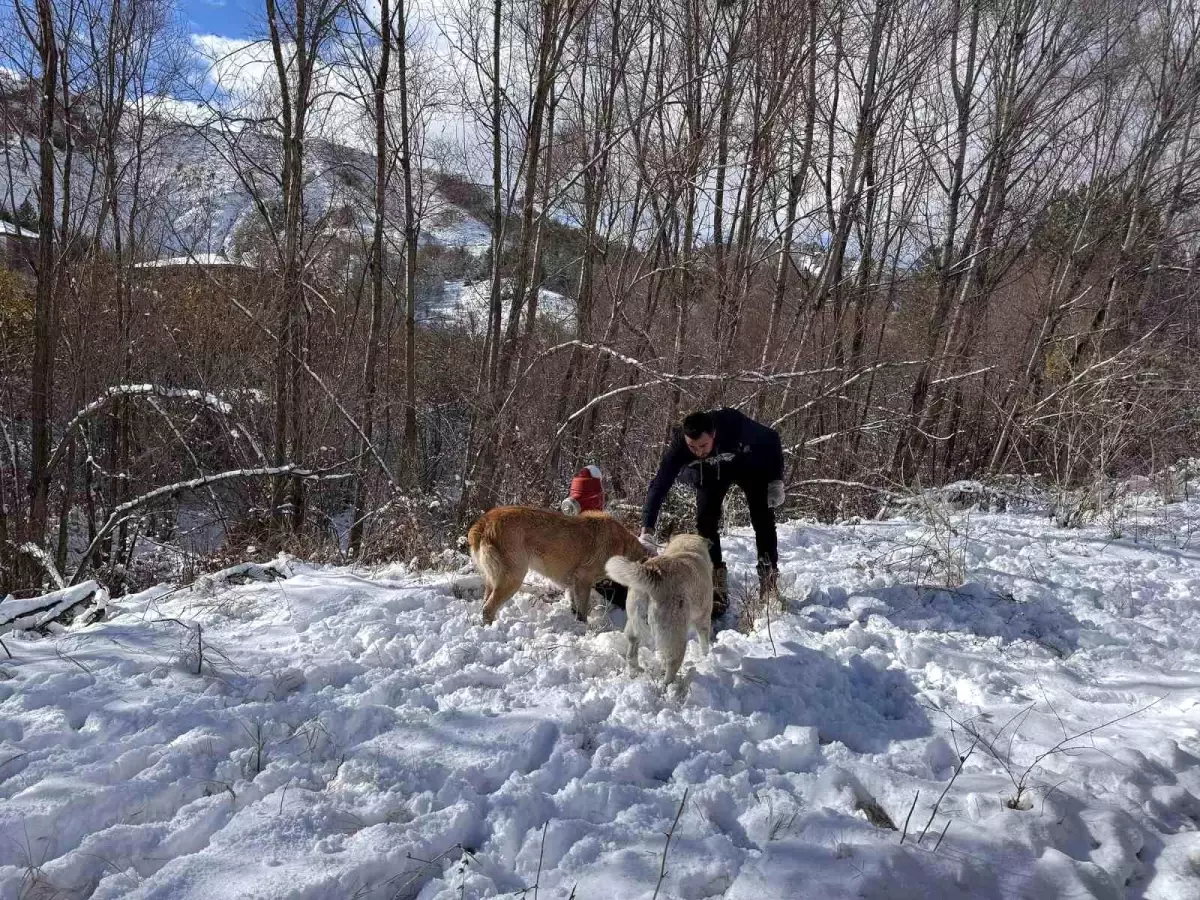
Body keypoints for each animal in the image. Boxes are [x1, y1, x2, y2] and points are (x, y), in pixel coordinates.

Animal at [465, 508, 648, 628]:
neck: (623, 548)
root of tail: (485, 522)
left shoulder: (576, 583)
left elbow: (576, 607)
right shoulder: (583, 579)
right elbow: (583, 610)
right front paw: (584, 629)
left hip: (493, 580)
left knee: (485, 605)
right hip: (512, 579)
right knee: (488, 609)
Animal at [600, 535, 710, 691]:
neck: (687, 546)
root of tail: (654, 575)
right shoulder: (704, 617)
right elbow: (704, 642)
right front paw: (706, 657)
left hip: (634, 624)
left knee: (631, 653)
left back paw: (636, 672)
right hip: (675, 634)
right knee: (672, 663)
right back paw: (669, 687)